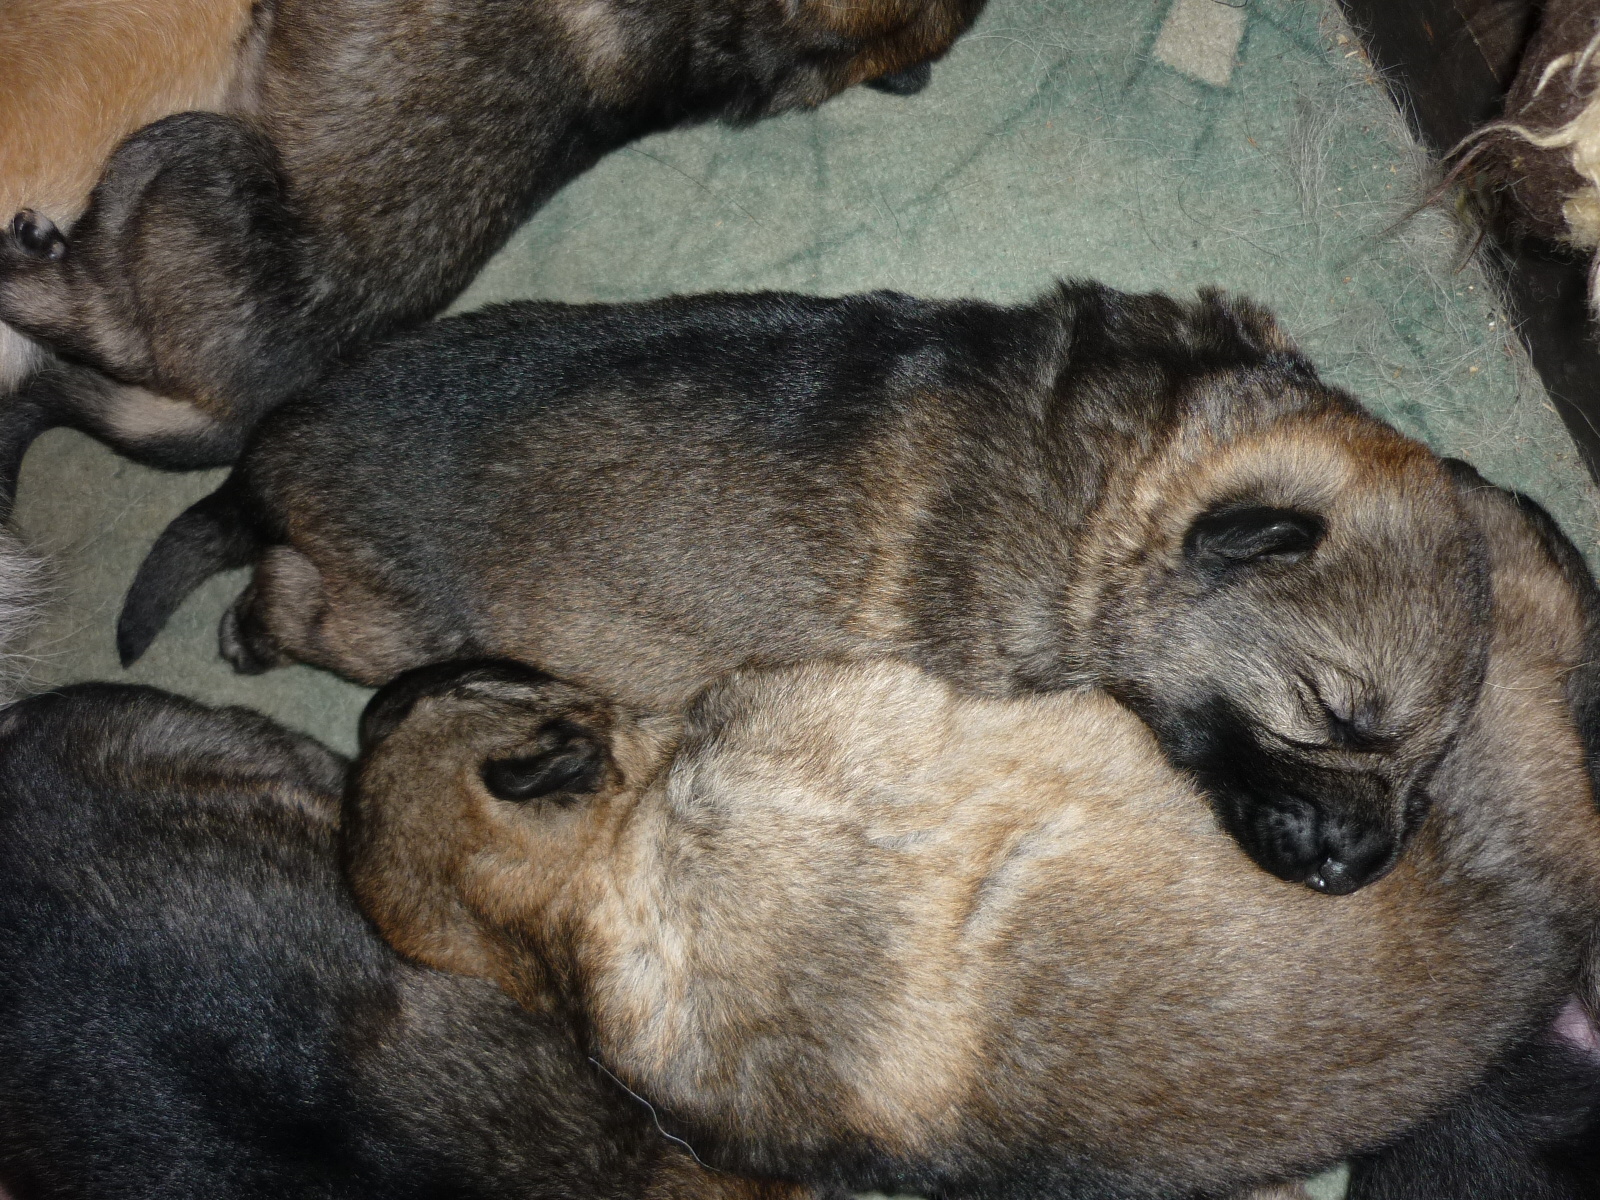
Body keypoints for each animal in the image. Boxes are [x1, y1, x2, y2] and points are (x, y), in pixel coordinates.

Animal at [122, 282, 1492, 894]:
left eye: (1434, 760)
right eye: (1331, 715)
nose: (1362, 867)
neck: (1131, 476)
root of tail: (274, 450)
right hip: (390, 620)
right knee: (296, 597)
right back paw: (245, 629)